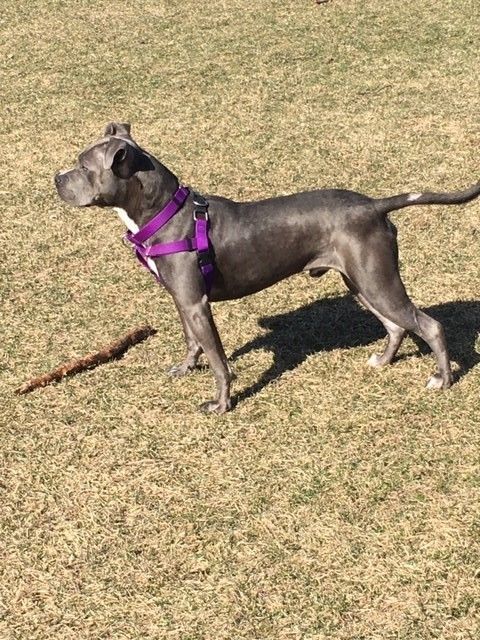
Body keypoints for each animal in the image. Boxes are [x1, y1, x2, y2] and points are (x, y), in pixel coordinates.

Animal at [54, 122, 478, 412]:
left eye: (83, 166)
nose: (56, 178)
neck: (165, 212)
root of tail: (374, 205)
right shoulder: (182, 300)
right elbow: (192, 341)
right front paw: (187, 368)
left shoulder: (197, 304)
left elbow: (220, 362)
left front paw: (221, 404)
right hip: (361, 280)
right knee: (395, 326)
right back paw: (384, 361)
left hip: (376, 280)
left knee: (428, 325)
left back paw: (442, 379)